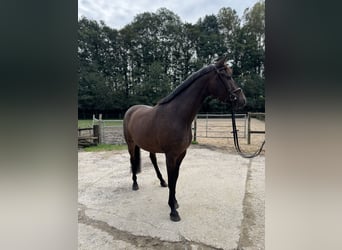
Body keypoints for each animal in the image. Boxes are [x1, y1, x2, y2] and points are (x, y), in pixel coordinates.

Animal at [123, 57, 246, 221]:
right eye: (227, 76)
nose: (242, 100)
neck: (177, 116)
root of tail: (131, 110)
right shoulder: (171, 155)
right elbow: (172, 178)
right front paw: (173, 211)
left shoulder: (181, 154)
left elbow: (175, 178)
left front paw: (174, 203)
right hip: (130, 144)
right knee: (132, 160)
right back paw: (135, 184)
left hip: (149, 145)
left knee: (153, 159)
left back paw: (162, 181)